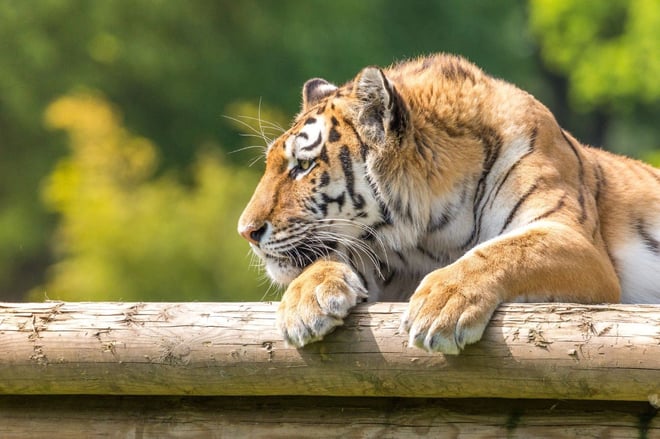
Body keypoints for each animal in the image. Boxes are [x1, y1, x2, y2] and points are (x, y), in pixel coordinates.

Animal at [237, 53, 660, 355]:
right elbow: (328, 260)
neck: (432, 233)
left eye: (303, 166)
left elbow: (507, 250)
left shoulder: (574, 238)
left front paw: (442, 305)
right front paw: (304, 303)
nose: (246, 232)